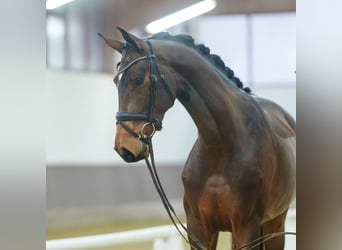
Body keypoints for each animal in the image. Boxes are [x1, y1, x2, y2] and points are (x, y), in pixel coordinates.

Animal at [99, 27, 296, 250]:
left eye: (138, 79)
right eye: (116, 81)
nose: (124, 147)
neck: (222, 145)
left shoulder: (247, 228)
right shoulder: (198, 228)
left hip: (275, 224)